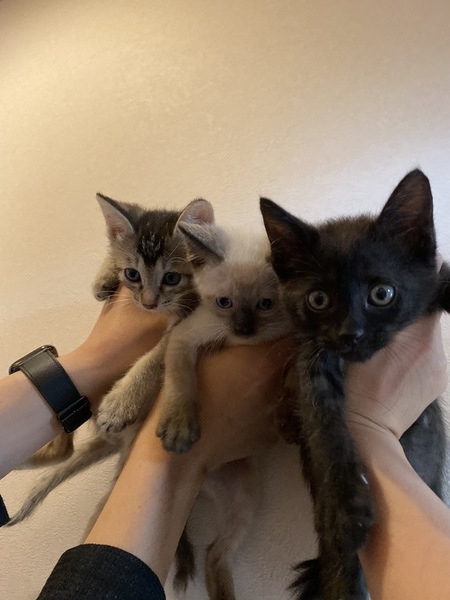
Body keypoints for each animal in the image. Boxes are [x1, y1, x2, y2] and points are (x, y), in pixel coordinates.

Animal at [7, 192, 214, 524]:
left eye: (172, 277)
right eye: (132, 274)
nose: (148, 303)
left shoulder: (191, 319)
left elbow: (155, 356)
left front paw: (121, 402)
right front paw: (104, 274)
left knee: (68, 450)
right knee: (65, 448)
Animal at [259, 169, 449, 600]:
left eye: (382, 293)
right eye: (318, 299)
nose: (351, 334)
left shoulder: (431, 282)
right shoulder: (311, 359)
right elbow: (321, 423)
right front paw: (343, 510)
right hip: (341, 573)